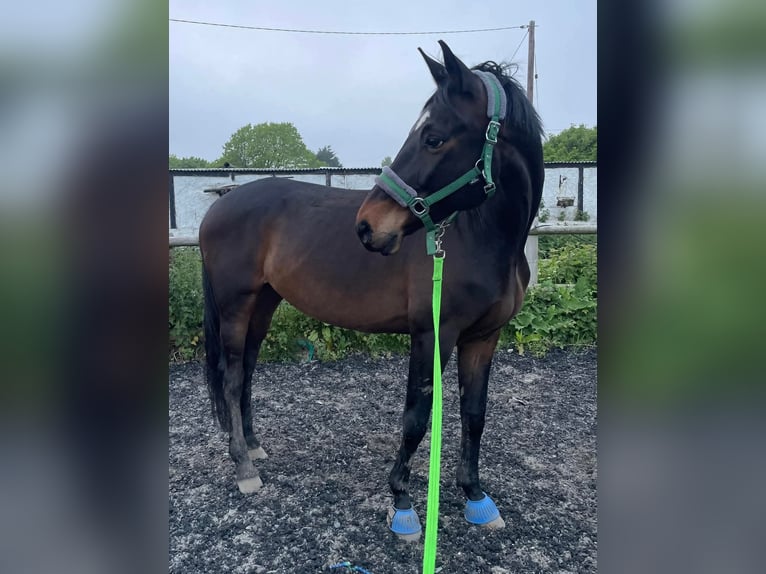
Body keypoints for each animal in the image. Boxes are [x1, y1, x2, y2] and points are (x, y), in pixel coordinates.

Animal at [199, 40, 544, 541]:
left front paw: (476, 497)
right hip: (236, 304)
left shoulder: (484, 338)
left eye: (434, 138)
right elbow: (416, 417)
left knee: (244, 370)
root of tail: (219, 206)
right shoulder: (432, 334)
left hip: (263, 303)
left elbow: (475, 416)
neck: (482, 237)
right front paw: (402, 503)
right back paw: (245, 468)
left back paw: (254, 446)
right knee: (228, 377)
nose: (367, 226)